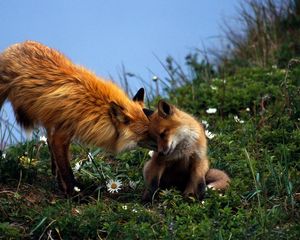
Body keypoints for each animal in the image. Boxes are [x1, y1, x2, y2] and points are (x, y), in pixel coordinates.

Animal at [0, 40, 155, 195]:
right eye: (145, 132)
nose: (163, 144)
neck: (93, 108)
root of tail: (19, 44)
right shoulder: (60, 136)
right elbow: (66, 170)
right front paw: (74, 194)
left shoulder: (62, 132)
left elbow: (60, 163)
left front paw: (64, 186)